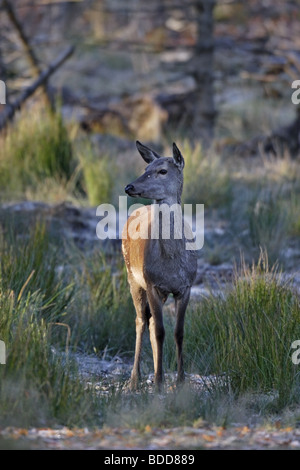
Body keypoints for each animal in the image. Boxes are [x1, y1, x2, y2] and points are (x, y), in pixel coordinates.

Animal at [121, 141, 197, 392]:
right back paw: (135, 379)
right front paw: (159, 382)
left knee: (151, 322)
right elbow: (161, 332)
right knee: (140, 321)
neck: (171, 263)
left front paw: (180, 380)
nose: (129, 186)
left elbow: (178, 332)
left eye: (162, 171)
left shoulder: (186, 286)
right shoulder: (152, 283)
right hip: (132, 277)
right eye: (146, 168)